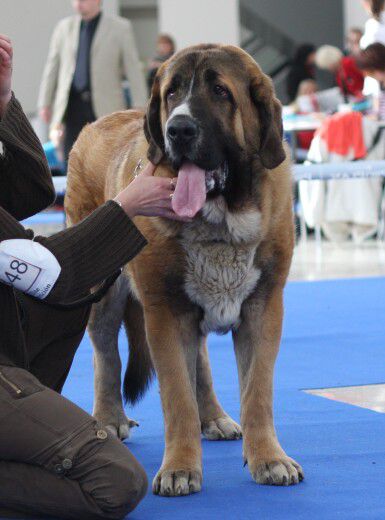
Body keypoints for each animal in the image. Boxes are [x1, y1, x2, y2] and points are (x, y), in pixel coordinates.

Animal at [64, 44, 302, 496]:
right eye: (172, 92)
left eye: (220, 91)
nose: (179, 130)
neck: (222, 221)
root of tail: (94, 123)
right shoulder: (166, 313)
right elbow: (177, 397)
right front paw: (179, 468)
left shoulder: (264, 308)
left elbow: (257, 392)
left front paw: (269, 459)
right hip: (103, 290)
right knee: (107, 355)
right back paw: (109, 418)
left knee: (202, 362)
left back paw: (213, 416)